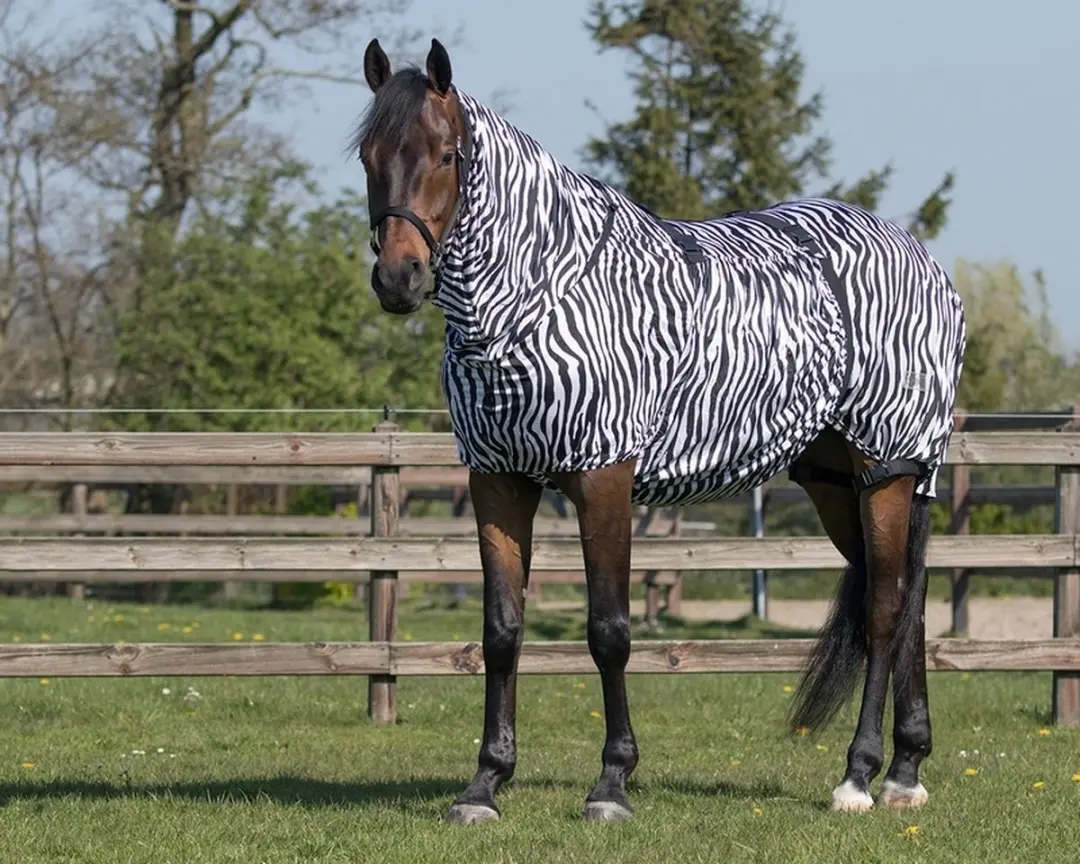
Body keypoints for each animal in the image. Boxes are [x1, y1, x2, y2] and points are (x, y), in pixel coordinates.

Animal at [355, 36, 966, 824]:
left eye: (447, 154)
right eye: (367, 154)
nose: (398, 278)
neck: (542, 292)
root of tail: (921, 258)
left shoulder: (602, 477)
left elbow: (609, 633)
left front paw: (612, 784)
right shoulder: (497, 479)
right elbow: (502, 632)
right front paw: (485, 784)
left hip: (886, 467)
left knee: (888, 611)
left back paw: (859, 777)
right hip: (837, 480)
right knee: (908, 602)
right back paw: (905, 771)